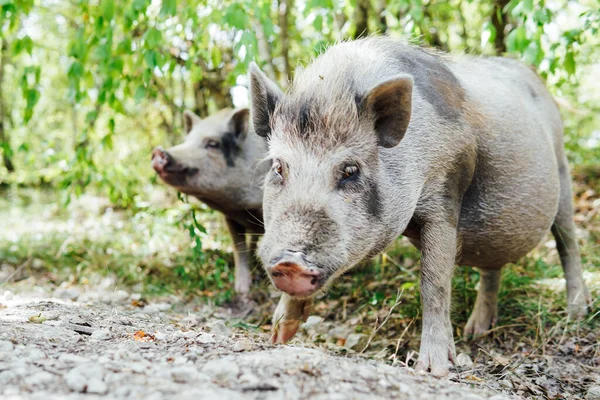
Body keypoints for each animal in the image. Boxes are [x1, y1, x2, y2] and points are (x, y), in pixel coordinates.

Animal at [152, 108, 268, 296]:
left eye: (213, 144)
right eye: (187, 140)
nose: (158, 151)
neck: (243, 207)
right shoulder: (231, 217)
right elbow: (239, 247)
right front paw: (241, 289)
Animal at [248, 36, 592, 376]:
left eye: (350, 170)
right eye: (278, 166)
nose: (291, 262)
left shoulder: (445, 196)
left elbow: (434, 281)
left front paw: (434, 369)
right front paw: (277, 336)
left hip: (563, 173)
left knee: (568, 242)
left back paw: (576, 312)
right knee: (491, 268)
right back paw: (475, 332)